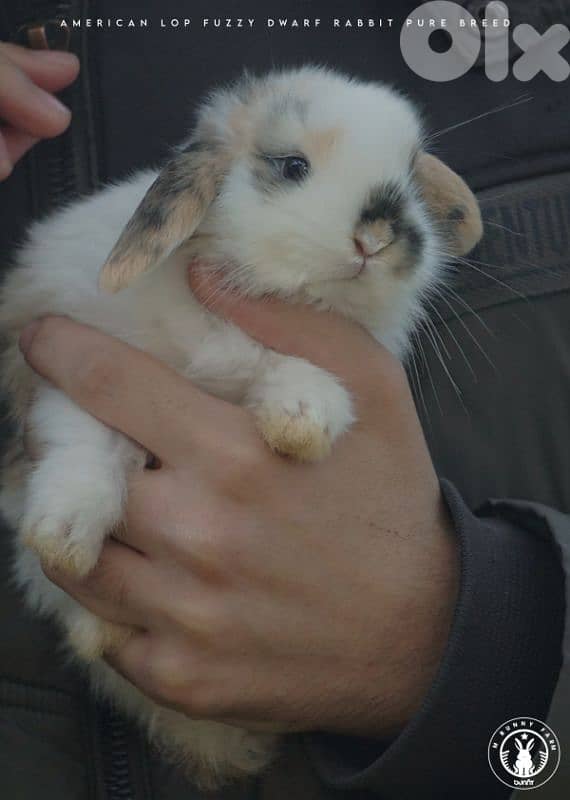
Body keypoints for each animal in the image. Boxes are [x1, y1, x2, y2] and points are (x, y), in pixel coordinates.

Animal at [0, 66, 482, 787]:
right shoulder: (79, 365)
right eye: (292, 166)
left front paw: (301, 421)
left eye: (409, 174)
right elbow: (87, 445)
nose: (377, 236)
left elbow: (310, 380)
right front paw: (64, 536)